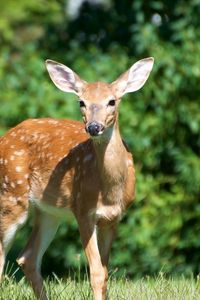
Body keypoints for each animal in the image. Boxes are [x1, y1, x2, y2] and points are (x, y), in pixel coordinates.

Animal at [0, 57, 154, 298]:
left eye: (112, 101)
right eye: (81, 102)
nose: (94, 127)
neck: (109, 191)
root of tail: (4, 137)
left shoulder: (113, 218)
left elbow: (105, 273)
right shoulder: (83, 210)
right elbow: (96, 273)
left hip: (49, 211)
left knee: (28, 257)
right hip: (11, 196)